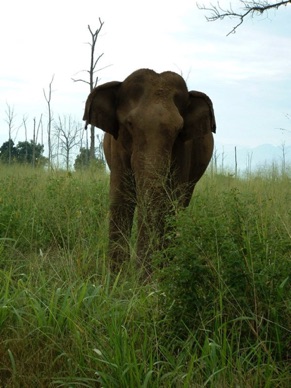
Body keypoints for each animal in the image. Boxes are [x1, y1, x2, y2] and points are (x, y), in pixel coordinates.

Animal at [83, 69, 216, 270]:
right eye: (130, 124)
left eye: (179, 130)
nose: (139, 270)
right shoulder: (117, 147)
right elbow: (121, 200)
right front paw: (118, 276)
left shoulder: (184, 150)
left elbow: (171, 204)